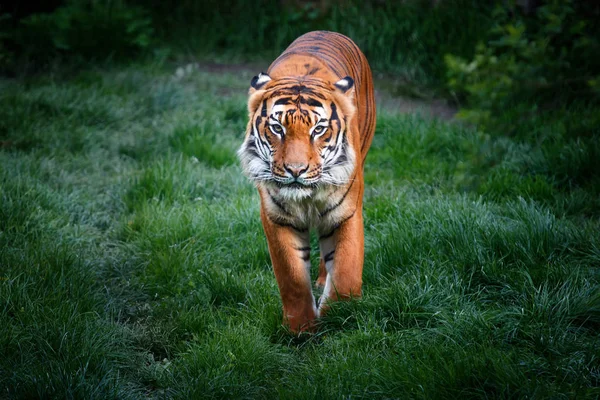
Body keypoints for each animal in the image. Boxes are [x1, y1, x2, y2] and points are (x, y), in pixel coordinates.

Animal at [238, 30, 376, 332]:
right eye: (277, 128)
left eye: (319, 129)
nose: (296, 170)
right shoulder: (277, 217)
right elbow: (292, 278)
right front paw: (301, 330)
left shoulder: (346, 213)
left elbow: (346, 275)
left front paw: (338, 320)